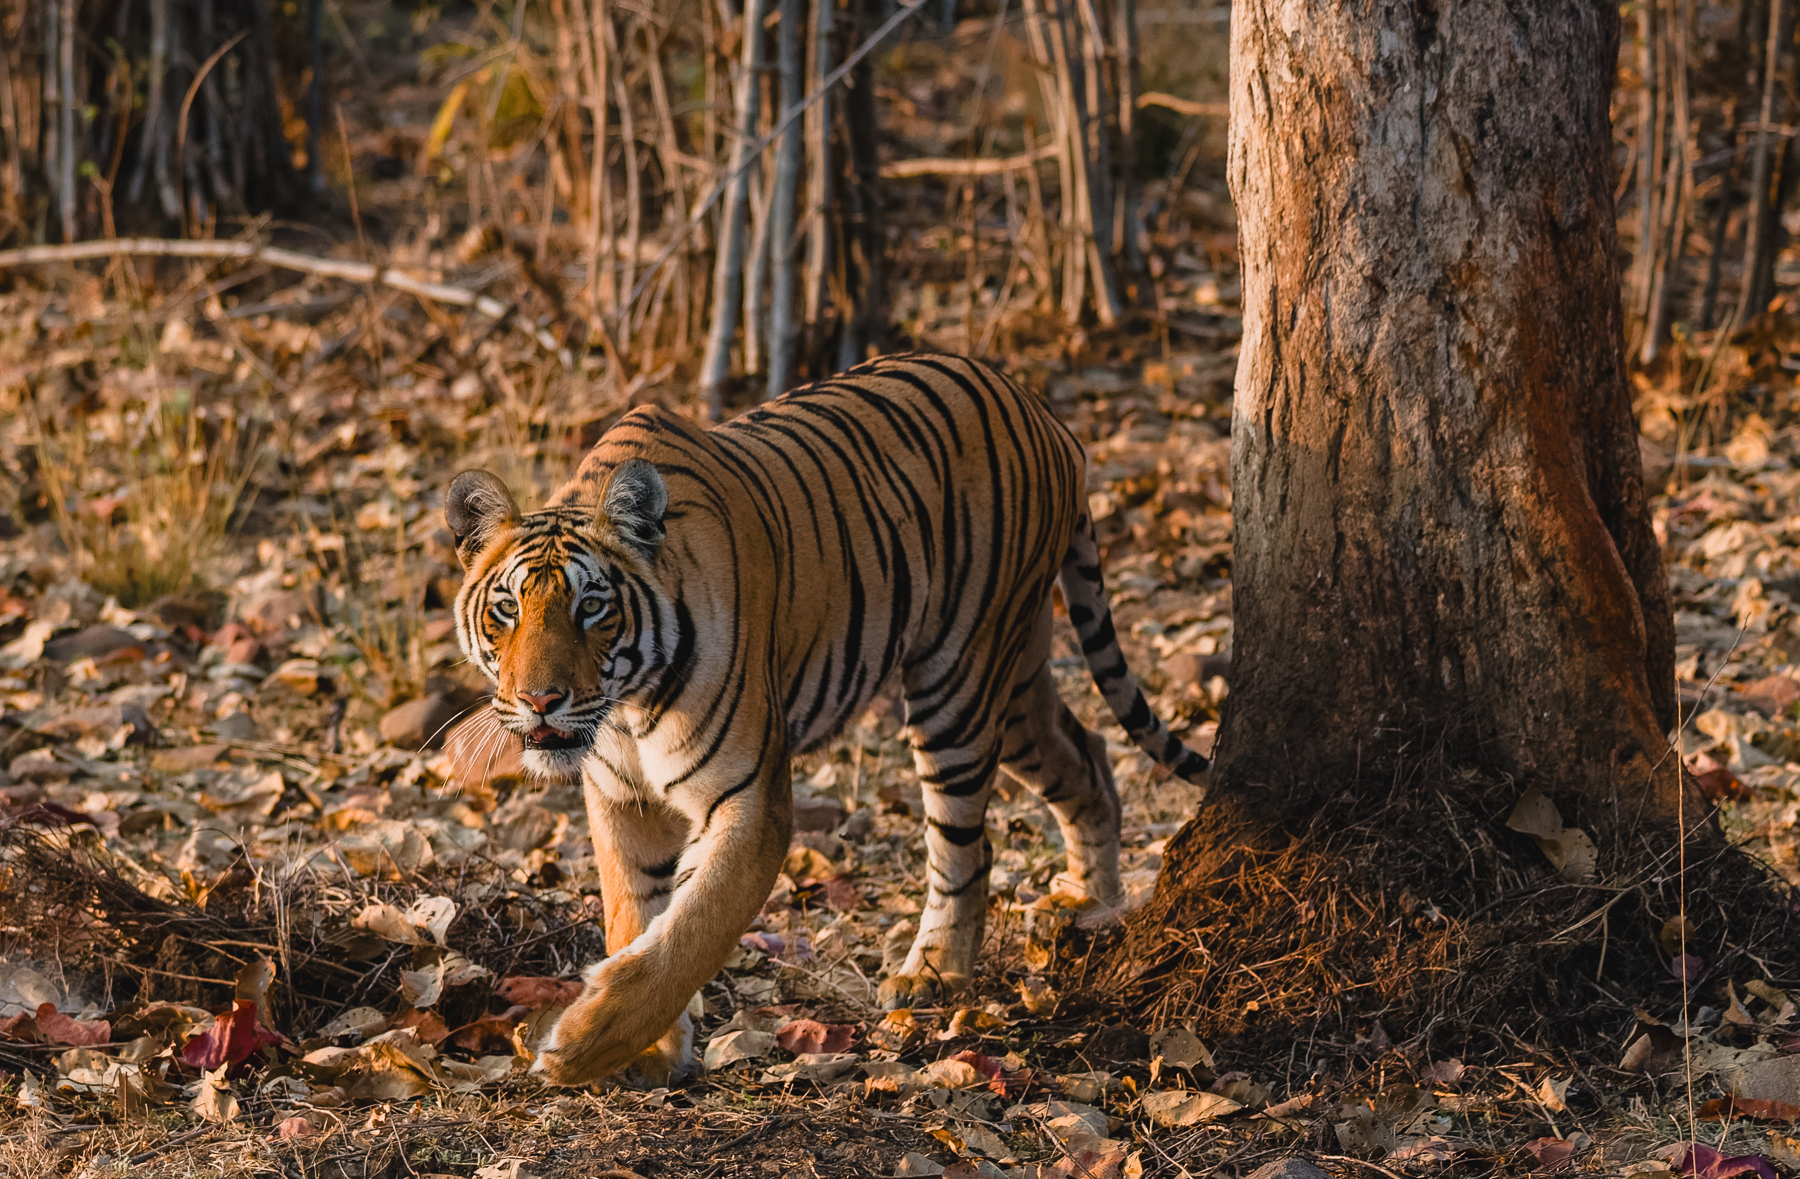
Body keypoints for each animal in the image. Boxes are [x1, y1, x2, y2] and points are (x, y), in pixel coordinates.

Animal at [445, 352, 1210, 1086]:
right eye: (507, 609)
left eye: (592, 607)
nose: (539, 699)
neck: (627, 705)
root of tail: (1044, 413)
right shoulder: (620, 799)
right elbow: (634, 914)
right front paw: (647, 1054)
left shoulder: (749, 800)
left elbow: (691, 929)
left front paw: (582, 1045)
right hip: (1018, 672)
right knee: (1088, 757)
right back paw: (1094, 905)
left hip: (958, 679)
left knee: (967, 845)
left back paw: (933, 972)